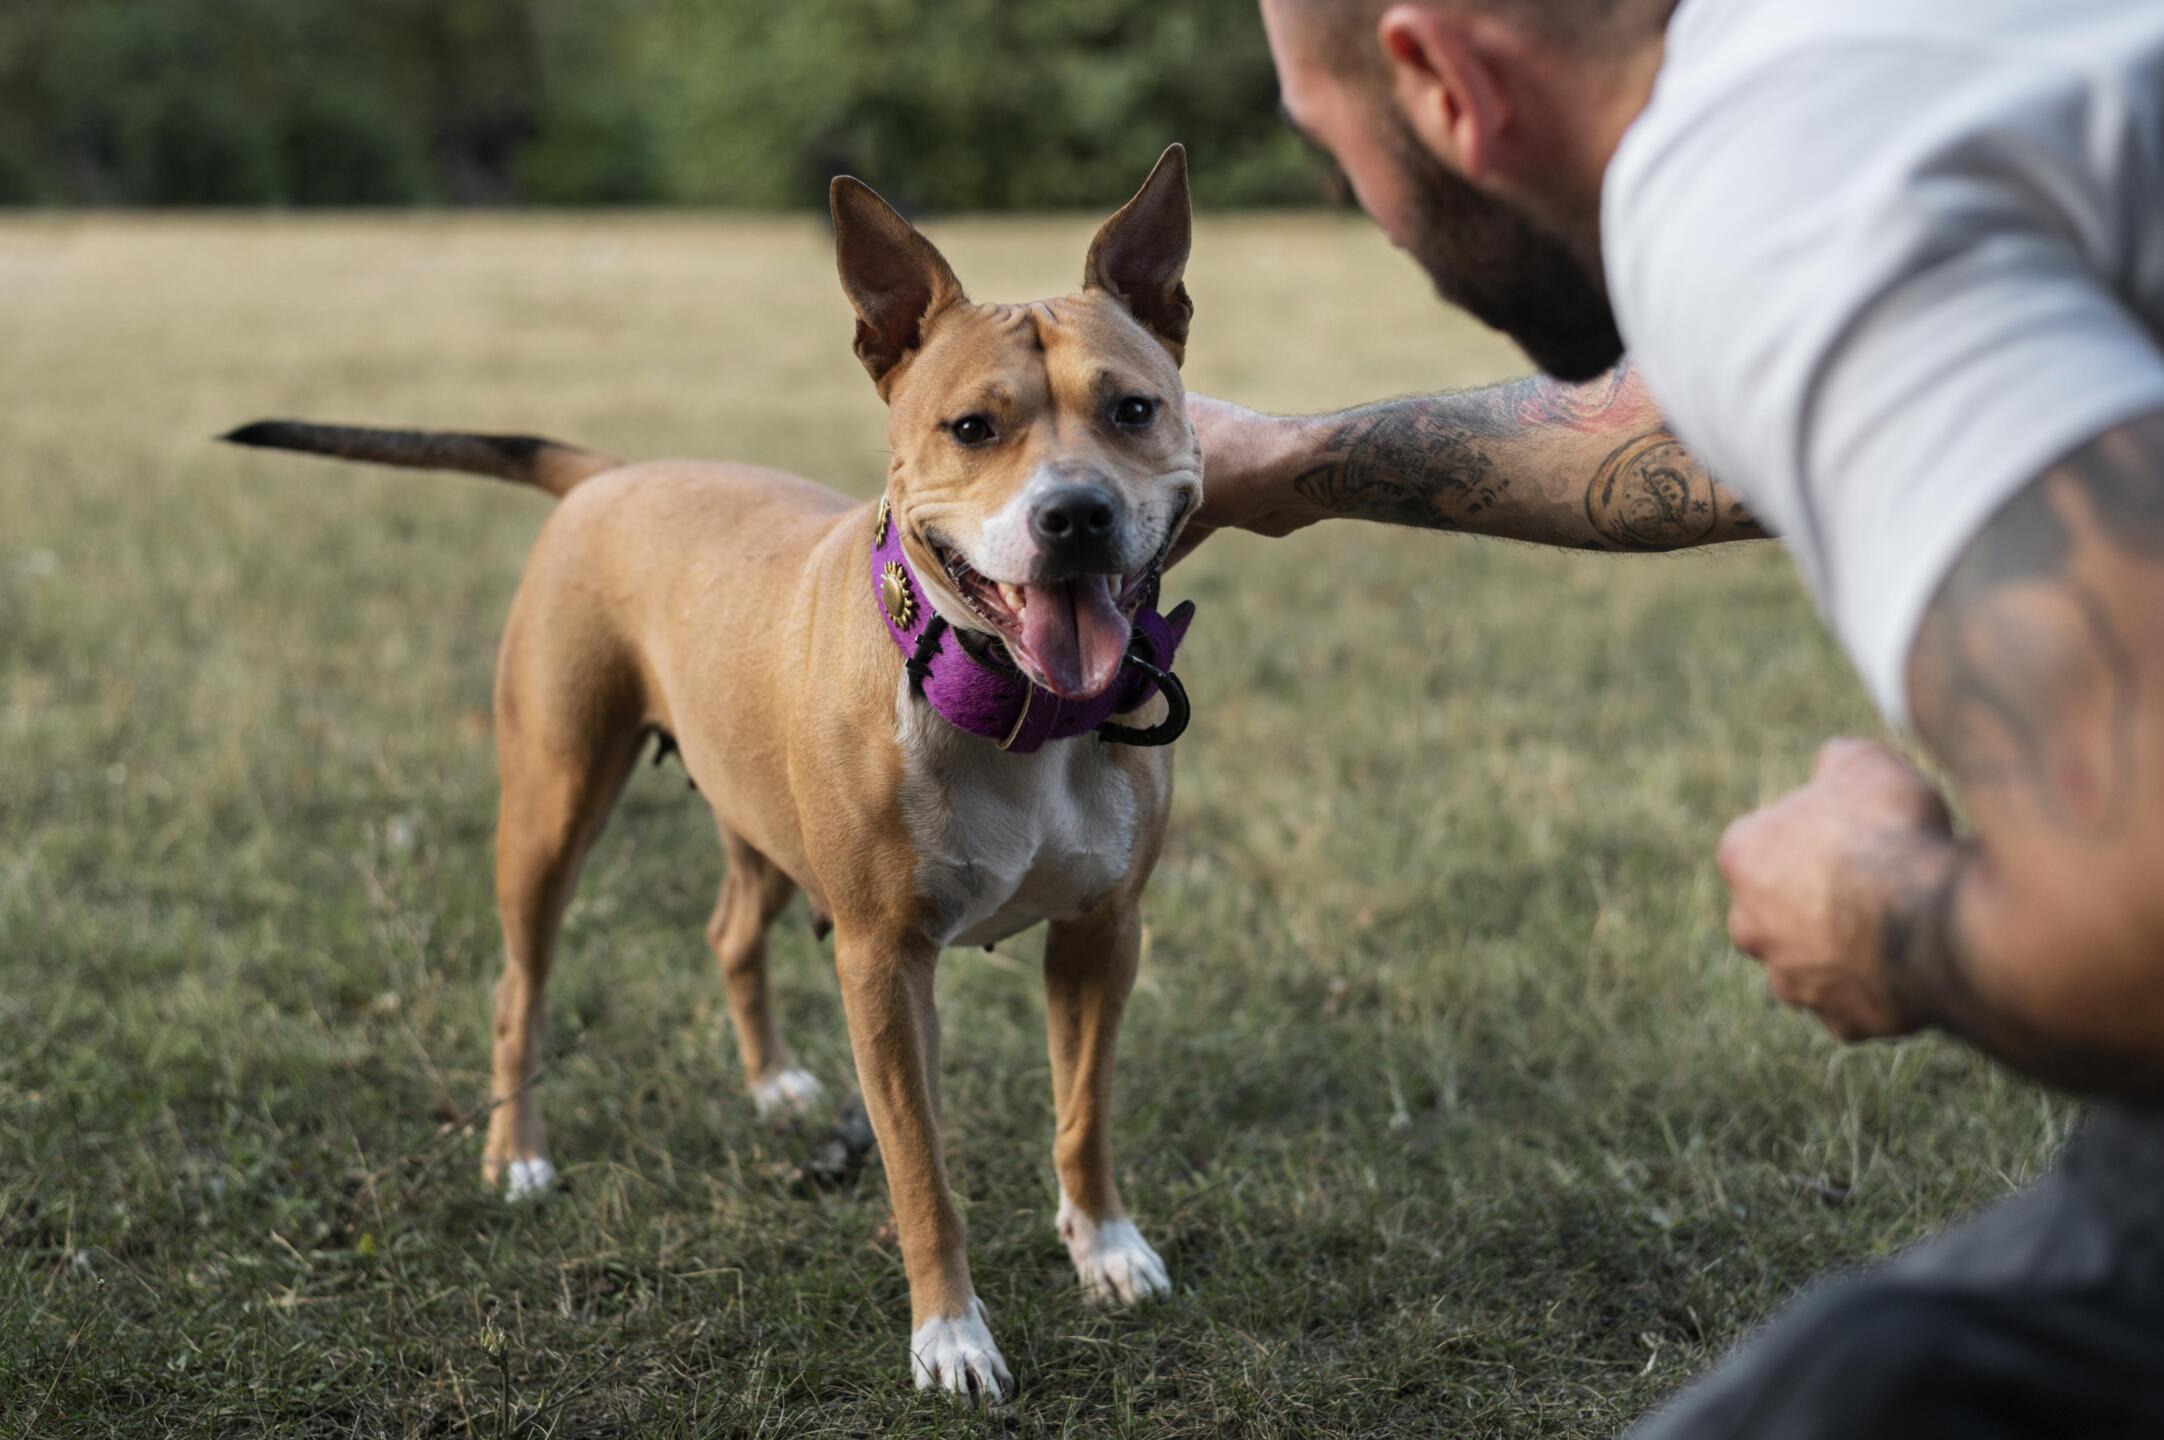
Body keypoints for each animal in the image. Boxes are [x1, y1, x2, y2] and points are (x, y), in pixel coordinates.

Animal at [228, 146, 1211, 1394]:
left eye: (1133, 409)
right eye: (973, 427)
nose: (1075, 515)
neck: (1008, 706)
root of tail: (609, 474)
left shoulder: (1101, 933)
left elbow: (1082, 1113)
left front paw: (1107, 1248)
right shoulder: (883, 965)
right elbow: (921, 1172)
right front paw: (949, 1333)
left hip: (754, 812)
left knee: (732, 932)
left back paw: (769, 1084)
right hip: (550, 805)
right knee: (519, 986)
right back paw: (518, 1155)